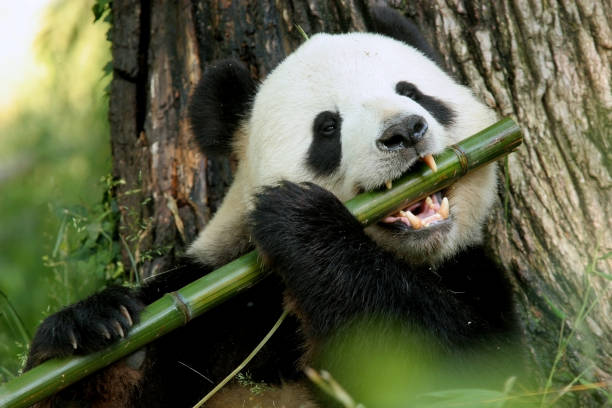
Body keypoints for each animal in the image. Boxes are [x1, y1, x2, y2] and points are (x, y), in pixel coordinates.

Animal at [25, 7, 520, 408]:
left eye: (412, 92)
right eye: (327, 127)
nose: (404, 130)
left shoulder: (474, 276)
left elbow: (456, 369)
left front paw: (301, 221)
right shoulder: (214, 305)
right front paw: (91, 329)